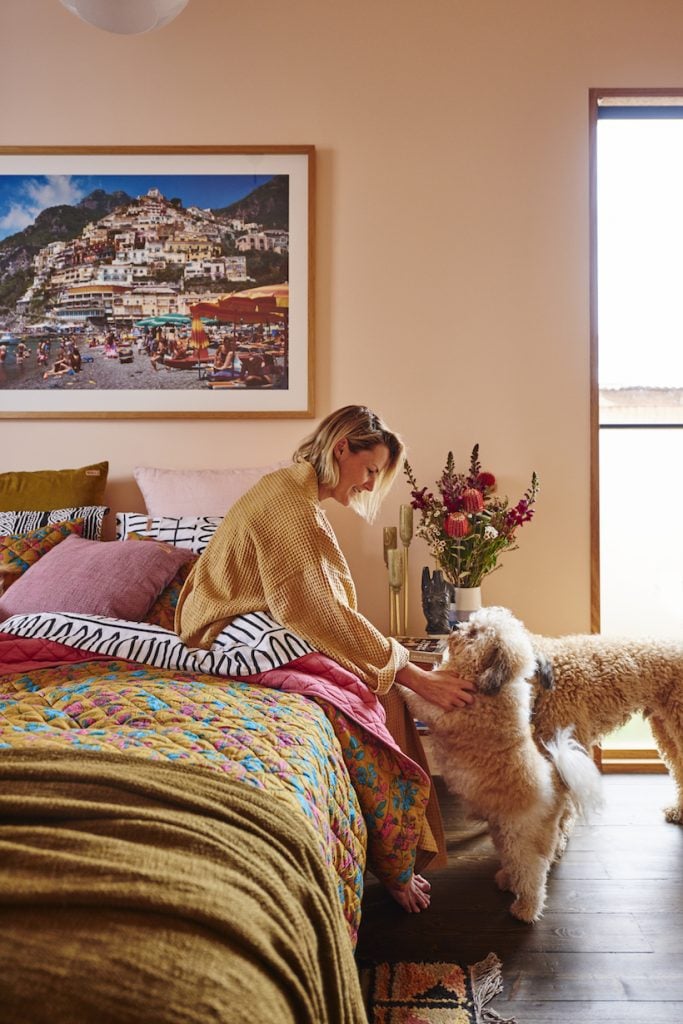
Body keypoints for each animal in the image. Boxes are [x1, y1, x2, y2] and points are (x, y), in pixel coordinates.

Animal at [401, 602, 602, 925]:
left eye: (474, 633)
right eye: (471, 624)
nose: (454, 627)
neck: (487, 684)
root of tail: (558, 784)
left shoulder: (438, 711)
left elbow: (415, 695)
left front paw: (397, 680)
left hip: (521, 841)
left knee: (534, 878)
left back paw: (525, 910)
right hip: (503, 835)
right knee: (519, 867)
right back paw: (506, 881)